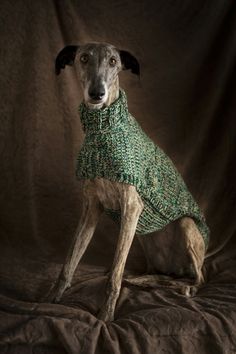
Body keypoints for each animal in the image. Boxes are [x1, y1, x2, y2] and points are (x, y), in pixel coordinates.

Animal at [50, 41, 209, 320]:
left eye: (113, 61)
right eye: (83, 58)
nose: (97, 93)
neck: (103, 129)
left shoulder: (132, 207)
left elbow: (114, 273)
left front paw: (106, 317)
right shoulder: (91, 209)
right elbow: (70, 261)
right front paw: (52, 302)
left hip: (187, 226)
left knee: (199, 278)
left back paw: (188, 288)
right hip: (144, 239)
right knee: (161, 275)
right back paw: (143, 280)